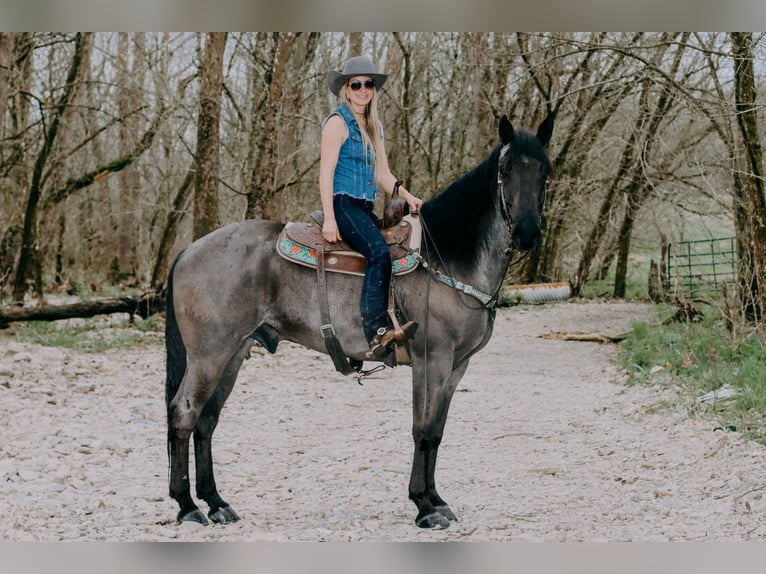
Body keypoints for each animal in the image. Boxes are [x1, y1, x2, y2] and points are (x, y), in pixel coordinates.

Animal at [165, 112, 556, 532]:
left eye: (545, 171)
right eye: (506, 170)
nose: (527, 233)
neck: (447, 257)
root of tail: (188, 250)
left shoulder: (456, 366)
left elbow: (437, 431)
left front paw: (435, 499)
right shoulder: (432, 359)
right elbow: (423, 429)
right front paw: (424, 505)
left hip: (235, 352)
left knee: (207, 420)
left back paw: (216, 502)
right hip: (209, 355)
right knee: (184, 413)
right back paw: (187, 505)